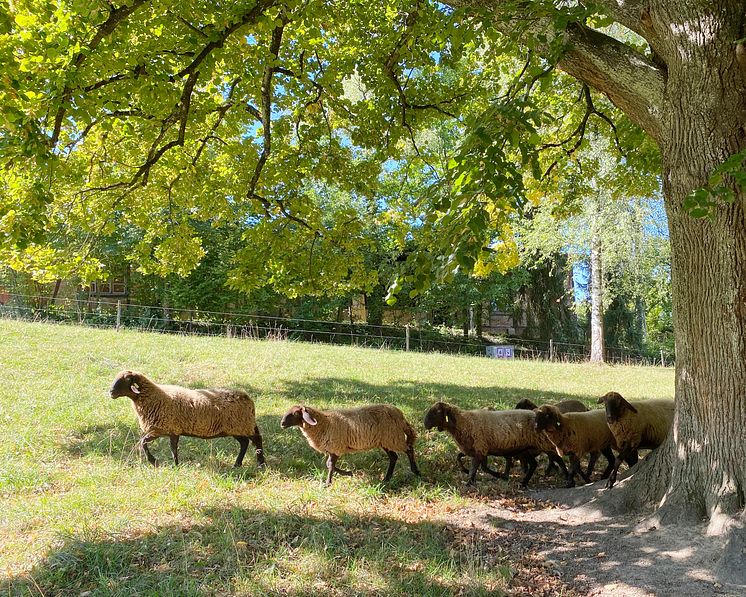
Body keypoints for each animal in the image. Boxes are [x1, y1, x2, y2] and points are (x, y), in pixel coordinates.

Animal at [108, 370, 264, 468]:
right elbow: (173, 448)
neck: (153, 397)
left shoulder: (160, 429)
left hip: (242, 425)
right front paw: (176, 465)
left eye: (127, 379)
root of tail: (248, 399)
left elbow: (143, 442)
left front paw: (154, 462)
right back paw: (237, 464)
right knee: (244, 443)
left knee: (256, 440)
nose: (111, 392)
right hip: (236, 428)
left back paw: (260, 463)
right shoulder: (171, 431)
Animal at [280, 400, 418, 484]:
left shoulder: (336, 446)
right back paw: (387, 478)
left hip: (393, 437)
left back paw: (415, 471)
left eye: (295, 413)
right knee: (394, 457)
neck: (324, 423)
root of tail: (400, 415)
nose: (282, 423)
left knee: (409, 449)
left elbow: (330, 465)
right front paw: (348, 473)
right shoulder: (332, 449)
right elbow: (329, 464)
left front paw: (328, 483)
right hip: (386, 440)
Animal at [424, 402, 564, 486]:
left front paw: (470, 482)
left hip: (543, 444)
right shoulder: (475, 449)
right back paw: (524, 482)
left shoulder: (480, 448)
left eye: (437, 412)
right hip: (527, 449)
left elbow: (478, 467)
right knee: (534, 464)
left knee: (558, 459)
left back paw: (567, 480)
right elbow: (461, 459)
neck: (464, 422)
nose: (425, 423)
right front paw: (468, 473)